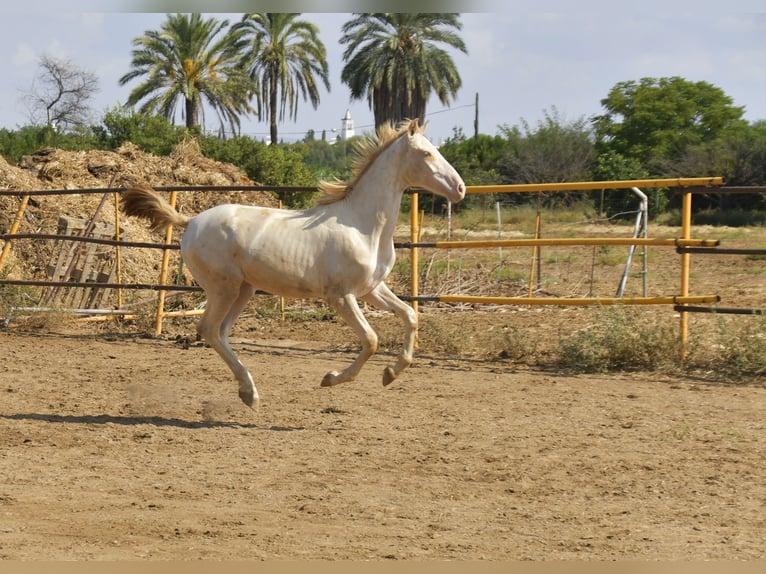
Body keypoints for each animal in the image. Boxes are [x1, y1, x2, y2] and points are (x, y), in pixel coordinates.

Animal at [121, 120, 468, 410]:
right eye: (426, 153)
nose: (460, 189)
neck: (364, 225)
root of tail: (190, 221)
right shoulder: (340, 296)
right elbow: (370, 340)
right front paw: (331, 378)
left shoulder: (371, 289)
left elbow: (410, 315)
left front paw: (391, 373)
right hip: (224, 288)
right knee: (208, 329)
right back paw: (250, 391)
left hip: (243, 290)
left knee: (220, 332)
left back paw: (248, 392)